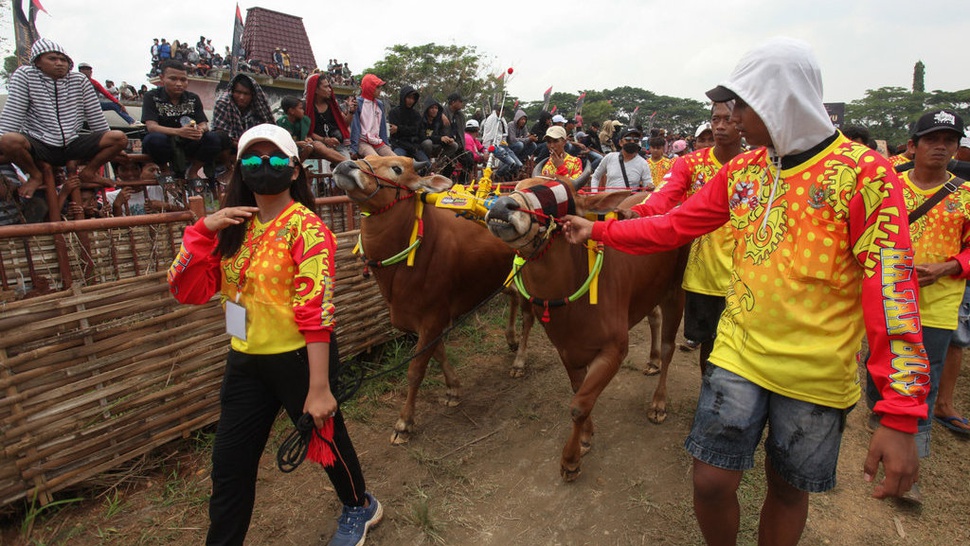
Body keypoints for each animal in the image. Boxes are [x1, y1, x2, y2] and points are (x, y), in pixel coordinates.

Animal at [330, 156, 532, 442]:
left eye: (396, 168)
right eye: (366, 158)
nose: (346, 165)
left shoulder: (432, 317)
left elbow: (416, 370)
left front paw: (404, 422)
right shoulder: (423, 320)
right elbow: (438, 353)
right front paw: (453, 389)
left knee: (528, 316)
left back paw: (519, 361)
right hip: (501, 276)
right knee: (513, 297)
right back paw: (511, 339)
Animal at [482, 176, 684, 478]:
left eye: (558, 196)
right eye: (518, 185)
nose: (501, 206)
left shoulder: (614, 350)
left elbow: (579, 405)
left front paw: (570, 459)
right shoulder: (567, 351)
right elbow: (580, 393)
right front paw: (586, 437)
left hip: (676, 290)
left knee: (670, 346)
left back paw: (658, 402)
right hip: (650, 289)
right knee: (655, 317)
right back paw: (652, 360)